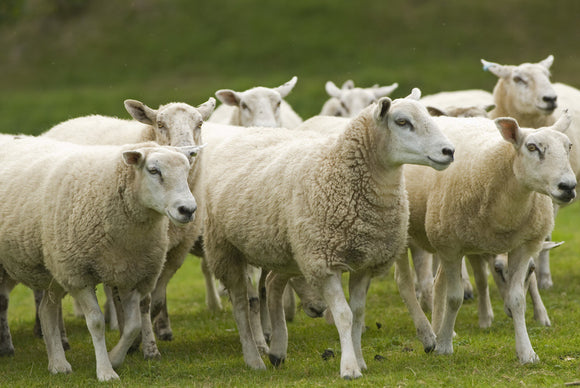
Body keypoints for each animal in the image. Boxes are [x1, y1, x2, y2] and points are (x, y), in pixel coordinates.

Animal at [0, 135, 202, 380]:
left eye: (187, 169)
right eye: (154, 170)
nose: (188, 210)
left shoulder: (130, 274)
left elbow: (133, 325)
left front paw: (115, 358)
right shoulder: (78, 275)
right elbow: (96, 322)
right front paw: (105, 371)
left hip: (54, 267)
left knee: (46, 311)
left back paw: (58, 364)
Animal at [39, 97, 215, 358]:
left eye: (200, 123)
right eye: (160, 124)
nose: (188, 150)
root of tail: (69, 121)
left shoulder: (169, 253)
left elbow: (154, 301)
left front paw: (145, 339)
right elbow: (138, 302)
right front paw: (143, 345)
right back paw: (59, 336)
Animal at [202, 89, 456, 378]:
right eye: (402, 122)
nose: (449, 151)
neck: (339, 170)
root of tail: (251, 131)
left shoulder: (363, 262)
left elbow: (358, 313)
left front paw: (360, 360)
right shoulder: (324, 262)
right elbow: (344, 315)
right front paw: (349, 367)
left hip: (290, 251)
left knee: (274, 283)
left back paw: (278, 350)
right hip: (225, 249)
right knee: (241, 307)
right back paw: (254, 359)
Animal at [404, 113, 576, 364]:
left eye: (569, 146)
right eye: (532, 147)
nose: (569, 187)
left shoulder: (523, 246)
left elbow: (517, 300)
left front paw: (526, 352)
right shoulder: (452, 247)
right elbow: (455, 298)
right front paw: (444, 347)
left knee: (437, 284)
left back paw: (438, 330)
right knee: (404, 281)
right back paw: (429, 335)